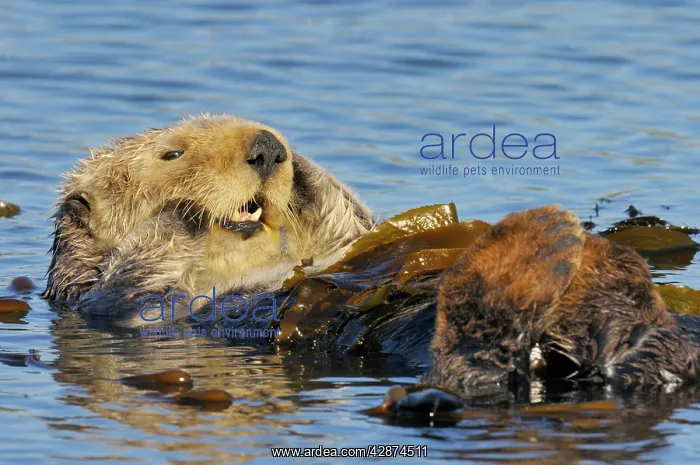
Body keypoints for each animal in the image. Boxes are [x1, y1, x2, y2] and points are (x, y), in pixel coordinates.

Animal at [43, 115, 374, 324]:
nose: (268, 149)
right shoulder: (113, 304)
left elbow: (354, 227)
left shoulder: (347, 238)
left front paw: (301, 170)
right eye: (172, 154)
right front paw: (185, 208)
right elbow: (141, 285)